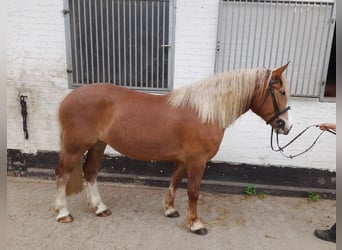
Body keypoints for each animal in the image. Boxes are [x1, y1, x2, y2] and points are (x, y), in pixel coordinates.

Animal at [53, 62, 292, 234]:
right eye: (281, 92)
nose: (286, 126)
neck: (205, 112)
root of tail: (68, 97)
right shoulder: (197, 161)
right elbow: (193, 191)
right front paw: (195, 224)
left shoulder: (184, 159)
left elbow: (174, 181)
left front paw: (170, 209)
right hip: (75, 147)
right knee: (63, 174)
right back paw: (63, 213)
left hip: (97, 145)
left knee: (90, 172)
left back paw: (99, 208)